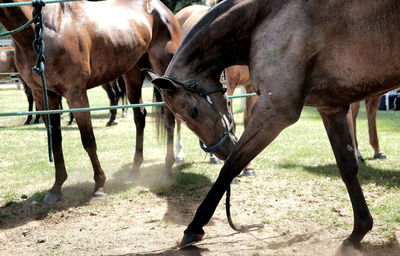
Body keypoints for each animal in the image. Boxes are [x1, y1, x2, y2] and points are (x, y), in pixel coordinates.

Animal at [0, 0, 181, 204]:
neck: (45, 27)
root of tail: (161, 9)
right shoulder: (44, 95)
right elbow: (55, 140)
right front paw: (56, 187)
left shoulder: (76, 94)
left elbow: (88, 140)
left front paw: (99, 188)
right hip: (132, 74)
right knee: (139, 117)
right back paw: (135, 170)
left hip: (161, 72)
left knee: (169, 118)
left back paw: (166, 170)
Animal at [144, 0, 400, 250]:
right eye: (184, 116)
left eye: (194, 111)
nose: (221, 150)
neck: (267, 17)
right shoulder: (331, 109)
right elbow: (348, 168)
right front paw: (358, 232)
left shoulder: (275, 111)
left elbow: (232, 165)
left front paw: (195, 227)